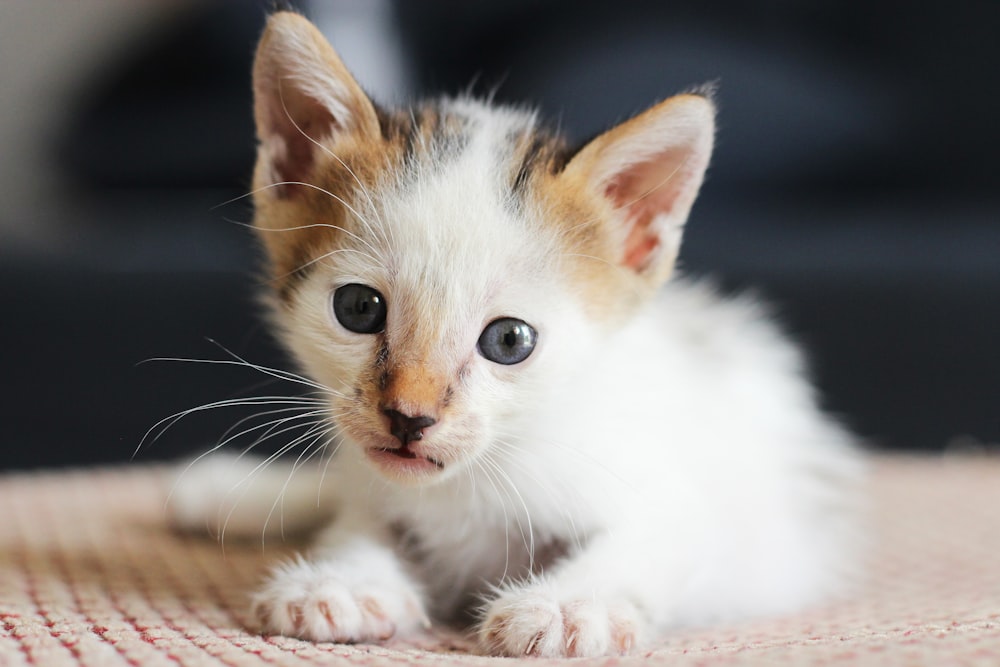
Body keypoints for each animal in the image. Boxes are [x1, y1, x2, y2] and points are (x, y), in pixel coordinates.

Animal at [170, 11, 860, 664]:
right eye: (359, 308)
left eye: (509, 341)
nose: (408, 417)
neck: (478, 476)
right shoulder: (378, 483)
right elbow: (360, 522)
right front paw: (342, 582)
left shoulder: (711, 517)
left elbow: (651, 540)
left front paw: (569, 605)